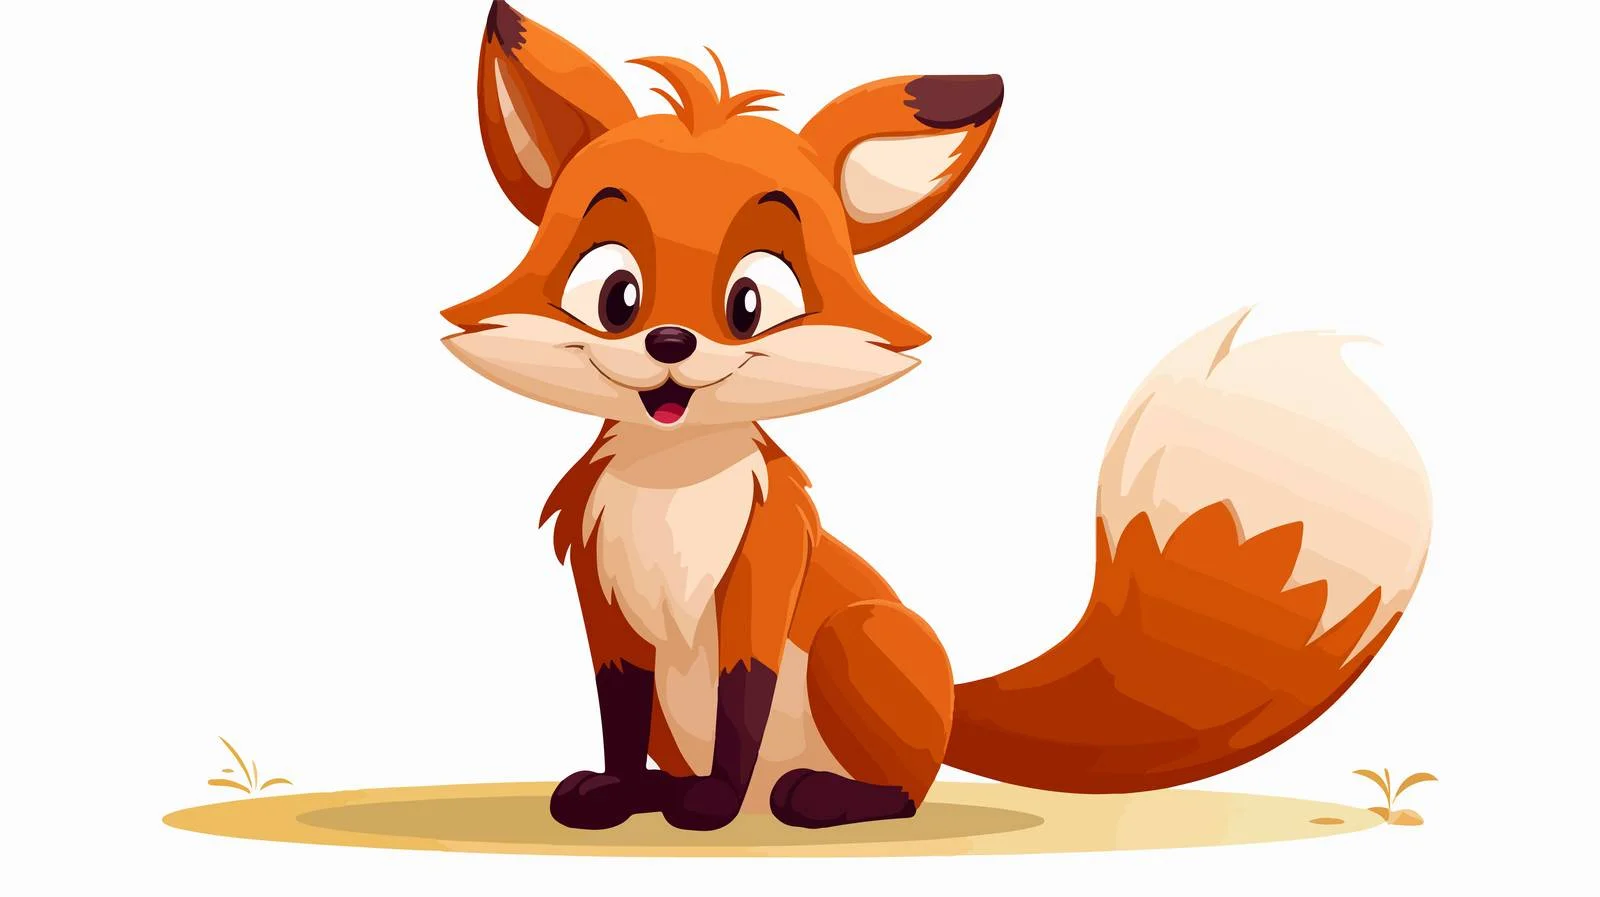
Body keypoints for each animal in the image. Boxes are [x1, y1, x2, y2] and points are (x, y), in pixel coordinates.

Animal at [441, 2, 1432, 832]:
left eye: (750, 302)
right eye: (615, 294)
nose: (671, 342)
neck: (673, 485)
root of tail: (953, 699)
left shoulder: (765, 564)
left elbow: (742, 694)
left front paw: (710, 808)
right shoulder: (602, 589)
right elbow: (617, 705)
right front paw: (620, 792)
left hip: (863, 636)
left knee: (901, 789)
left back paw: (816, 797)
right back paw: (673, 790)